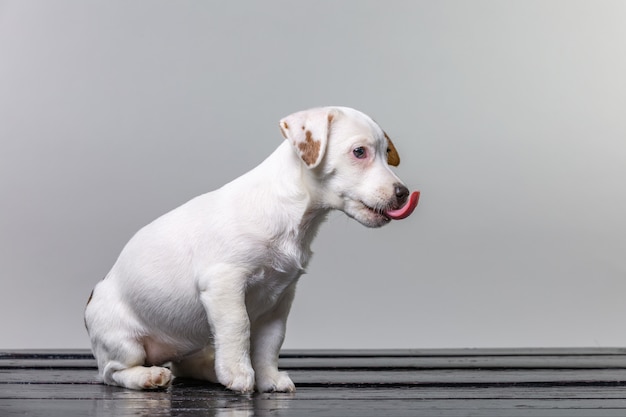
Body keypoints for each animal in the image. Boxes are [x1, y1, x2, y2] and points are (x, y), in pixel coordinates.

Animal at [81, 105, 414, 392]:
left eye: (387, 154)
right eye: (359, 152)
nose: (403, 193)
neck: (293, 214)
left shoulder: (280, 299)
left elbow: (270, 343)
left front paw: (268, 378)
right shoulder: (224, 284)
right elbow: (238, 326)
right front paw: (239, 373)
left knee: (182, 365)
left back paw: (209, 369)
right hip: (123, 341)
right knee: (112, 372)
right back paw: (148, 376)